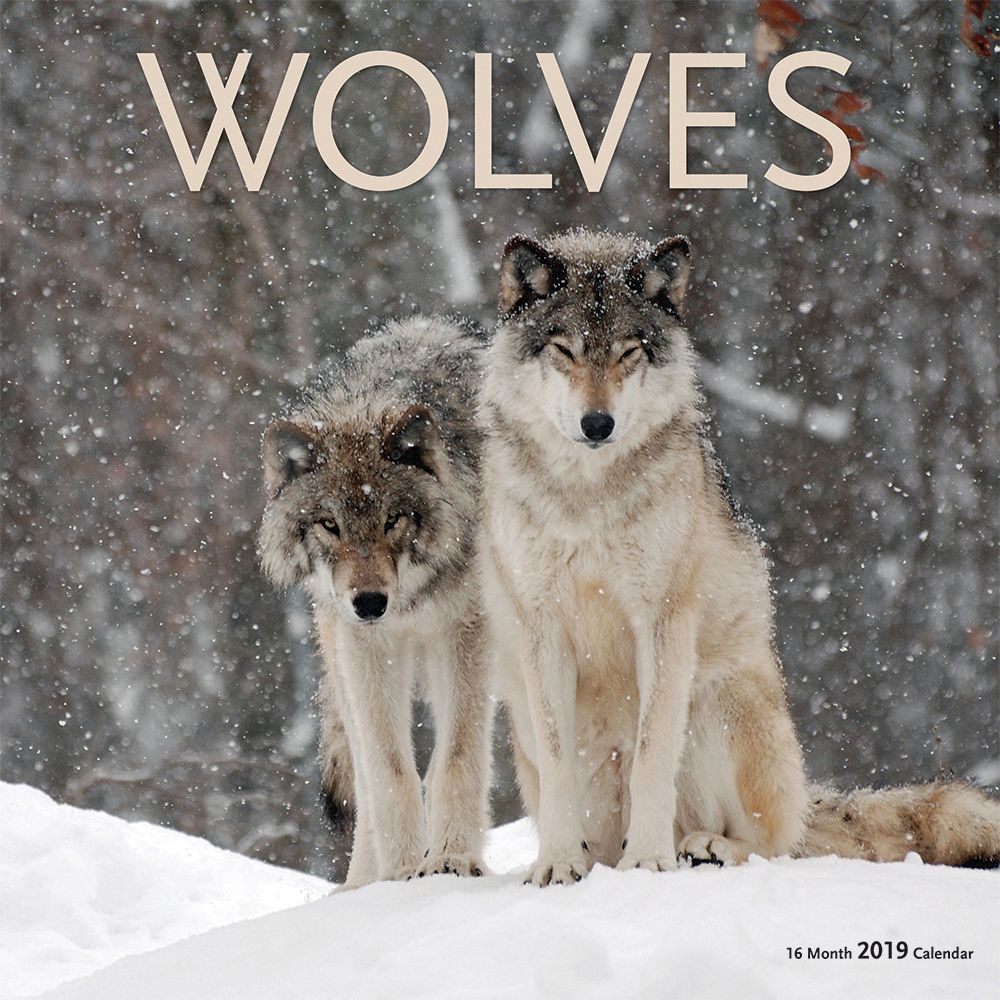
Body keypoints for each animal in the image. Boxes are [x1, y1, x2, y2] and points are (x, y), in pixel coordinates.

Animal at [259, 315, 492, 889]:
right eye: (329, 524)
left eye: (393, 519)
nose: (369, 603)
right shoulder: (369, 650)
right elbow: (388, 771)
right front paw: (403, 873)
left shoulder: (466, 633)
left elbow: (457, 757)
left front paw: (453, 860)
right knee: (365, 776)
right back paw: (362, 884)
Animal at [479, 229, 1000, 885]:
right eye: (565, 350)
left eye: (628, 353)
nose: (598, 424)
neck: (587, 496)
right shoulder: (540, 627)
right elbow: (558, 767)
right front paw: (555, 865)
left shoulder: (664, 620)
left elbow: (652, 757)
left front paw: (648, 862)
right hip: (529, 725)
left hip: (717, 700)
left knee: (772, 844)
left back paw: (701, 849)